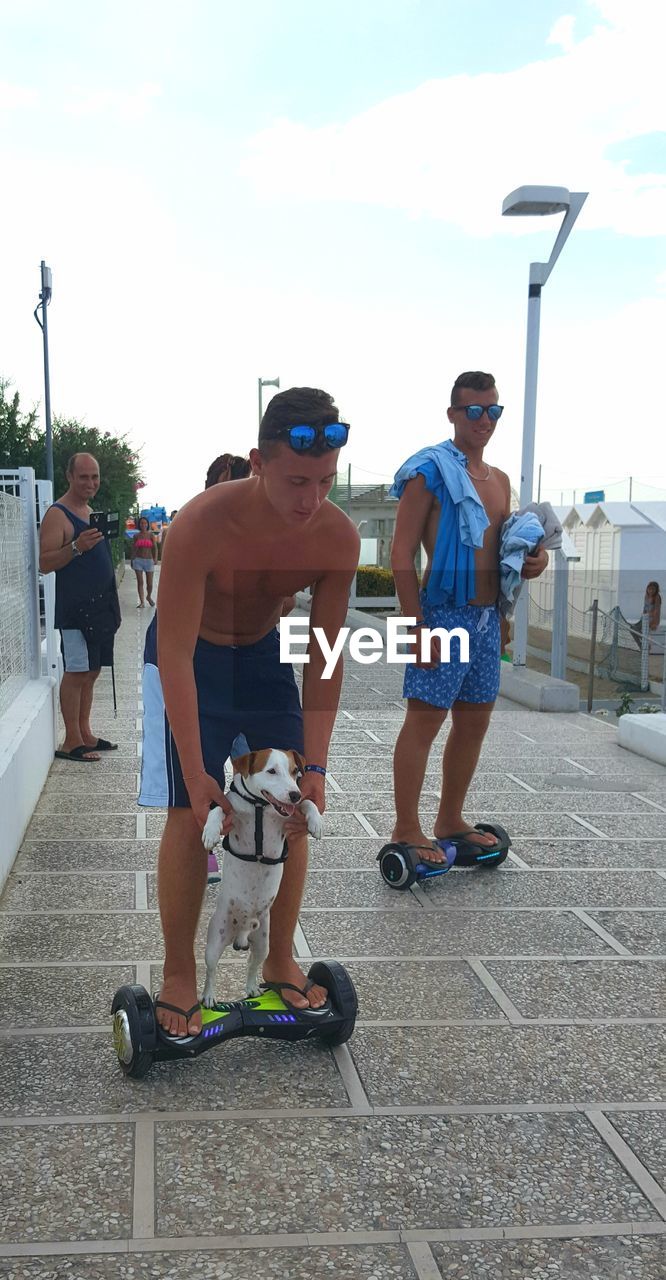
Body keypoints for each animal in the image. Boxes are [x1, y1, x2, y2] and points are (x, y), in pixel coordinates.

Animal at [199, 747, 322, 1003]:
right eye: (271, 771)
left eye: (295, 771)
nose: (294, 794)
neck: (261, 807)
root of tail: (242, 931)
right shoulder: (231, 811)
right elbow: (216, 809)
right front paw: (210, 832)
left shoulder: (289, 815)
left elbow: (308, 804)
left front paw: (316, 822)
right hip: (215, 941)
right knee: (211, 971)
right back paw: (209, 996)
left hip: (263, 942)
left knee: (252, 965)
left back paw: (253, 989)